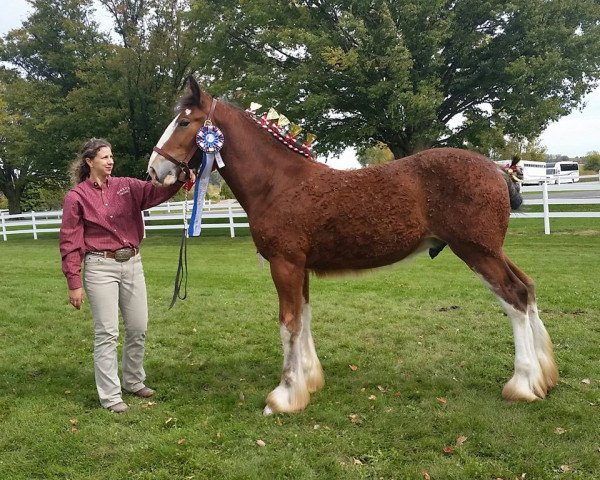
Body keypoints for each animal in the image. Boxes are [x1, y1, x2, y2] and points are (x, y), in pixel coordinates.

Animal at [149, 77, 556, 414]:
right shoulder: (300, 267)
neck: (279, 183)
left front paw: (284, 396)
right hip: (491, 251)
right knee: (528, 289)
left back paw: (522, 384)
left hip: (477, 252)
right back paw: (545, 378)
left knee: (515, 298)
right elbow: (304, 319)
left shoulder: (285, 264)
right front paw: (309, 381)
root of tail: (498, 170)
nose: (155, 170)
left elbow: (288, 324)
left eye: (184, 123)